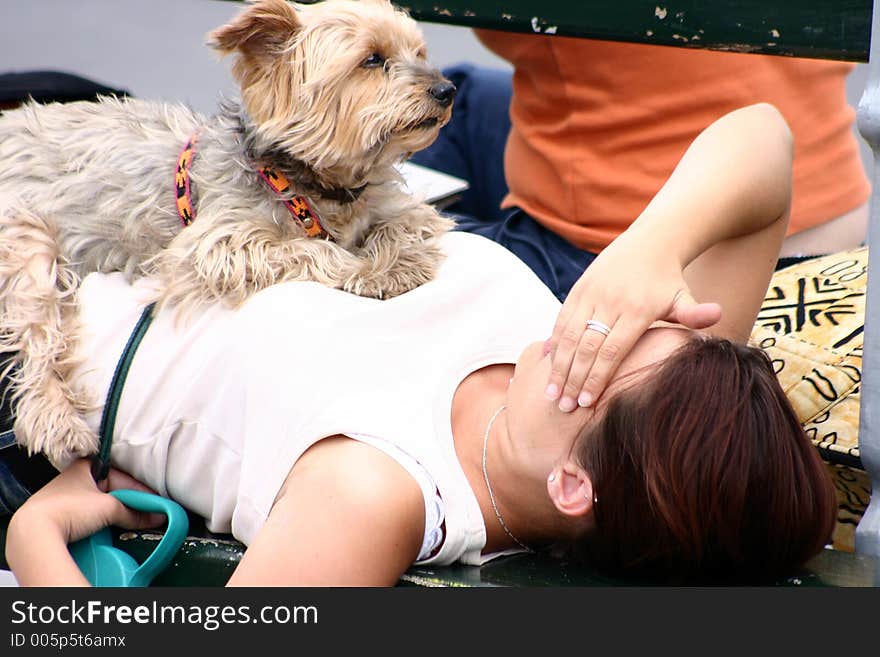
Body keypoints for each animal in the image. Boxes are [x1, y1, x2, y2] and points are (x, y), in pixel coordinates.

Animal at [0, 0, 460, 464]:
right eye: (371, 59)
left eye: (419, 53)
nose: (447, 90)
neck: (315, 183)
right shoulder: (214, 245)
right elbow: (310, 250)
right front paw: (370, 272)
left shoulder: (393, 206)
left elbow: (409, 222)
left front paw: (400, 260)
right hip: (26, 240)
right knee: (38, 335)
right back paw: (55, 419)